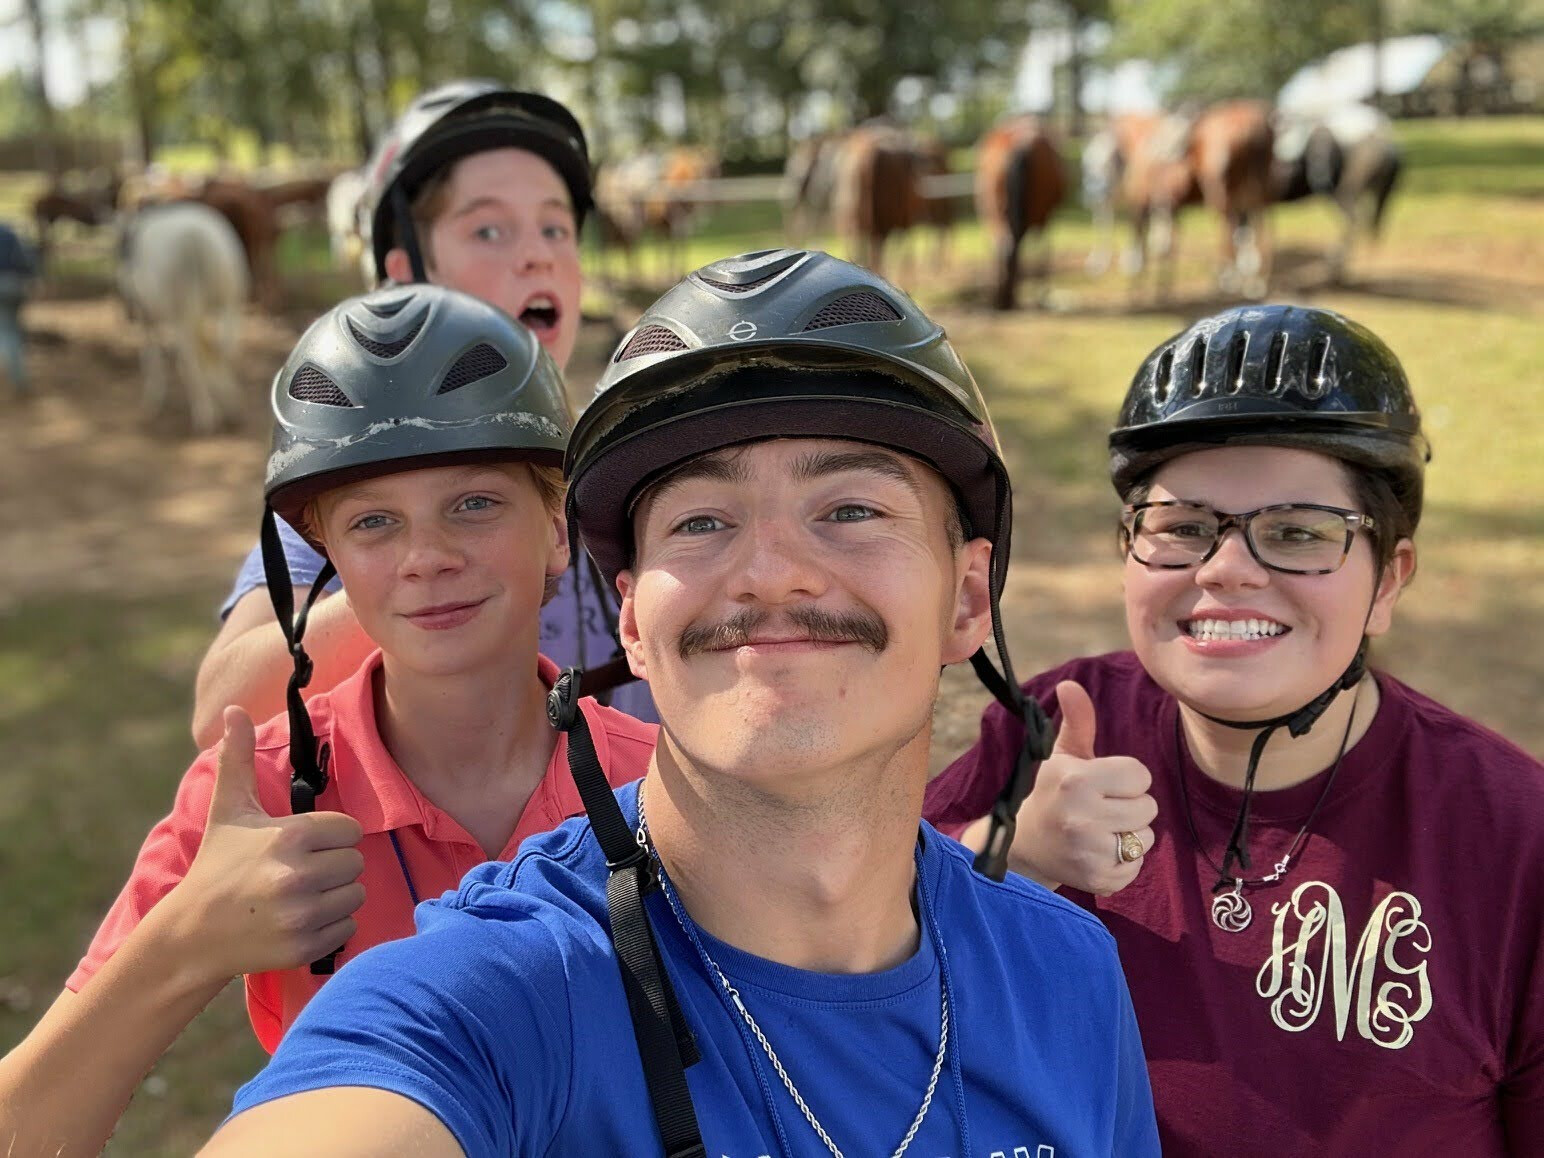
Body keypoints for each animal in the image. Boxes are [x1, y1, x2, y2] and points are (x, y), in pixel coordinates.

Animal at [117, 202, 249, 434]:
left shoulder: (146, 316)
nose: (127, 312)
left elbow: (152, 357)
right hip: (229, 301)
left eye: (121, 248)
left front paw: (153, 400)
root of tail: (196, 238)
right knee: (225, 351)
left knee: (188, 359)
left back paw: (205, 414)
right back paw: (229, 404)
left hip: (182, 311)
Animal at [974, 115, 1065, 310]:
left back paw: (1003, 297)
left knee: (1004, 246)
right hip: (1020, 212)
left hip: (995, 211)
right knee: (1011, 246)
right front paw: (1041, 291)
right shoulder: (1046, 215)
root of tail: (1020, 144)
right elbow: (1044, 249)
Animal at [1271, 103, 1402, 283]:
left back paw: (1335, 268)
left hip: (1345, 192)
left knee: (1354, 223)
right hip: (1379, 193)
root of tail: (1382, 134)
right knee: (1373, 228)